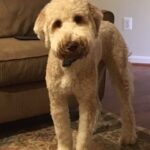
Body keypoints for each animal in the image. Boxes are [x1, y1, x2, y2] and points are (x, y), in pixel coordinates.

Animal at [34, 0, 137, 150]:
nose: (72, 44)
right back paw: (94, 128)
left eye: (78, 18)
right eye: (57, 23)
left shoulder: (85, 100)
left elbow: (83, 135)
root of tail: (107, 21)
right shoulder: (58, 100)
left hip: (119, 73)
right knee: (98, 104)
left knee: (127, 107)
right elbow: (63, 132)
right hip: (95, 81)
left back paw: (129, 137)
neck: (70, 64)